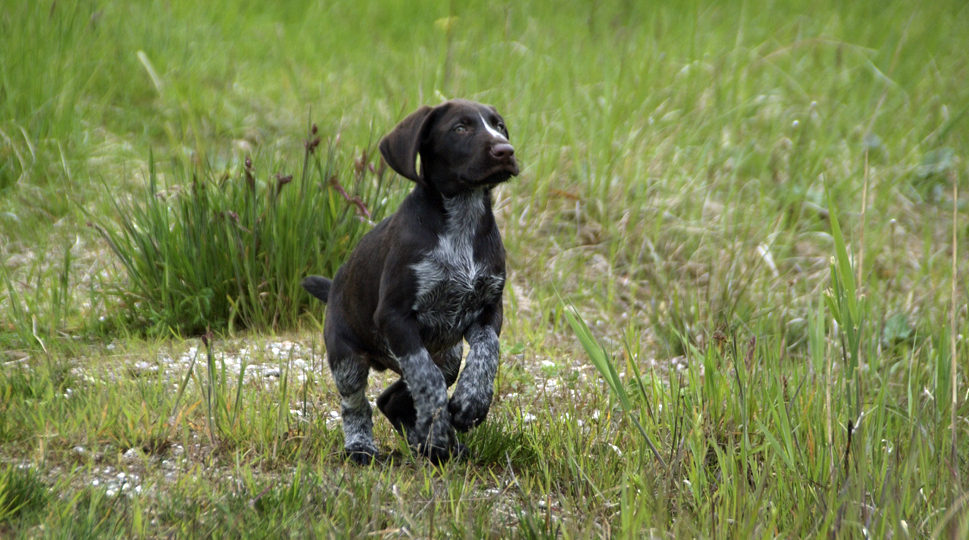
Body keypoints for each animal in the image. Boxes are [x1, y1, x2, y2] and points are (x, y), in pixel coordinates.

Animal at [302, 99, 520, 462]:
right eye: (460, 128)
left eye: (499, 126)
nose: (506, 150)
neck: (462, 220)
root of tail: (333, 288)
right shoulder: (395, 317)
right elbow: (426, 378)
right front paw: (440, 421)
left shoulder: (489, 307)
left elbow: (487, 352)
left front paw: (472, 401)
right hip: (347, 357)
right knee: (357, 404)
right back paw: (363, 446)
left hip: (448, 355)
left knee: (392, 399)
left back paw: (430, 442)